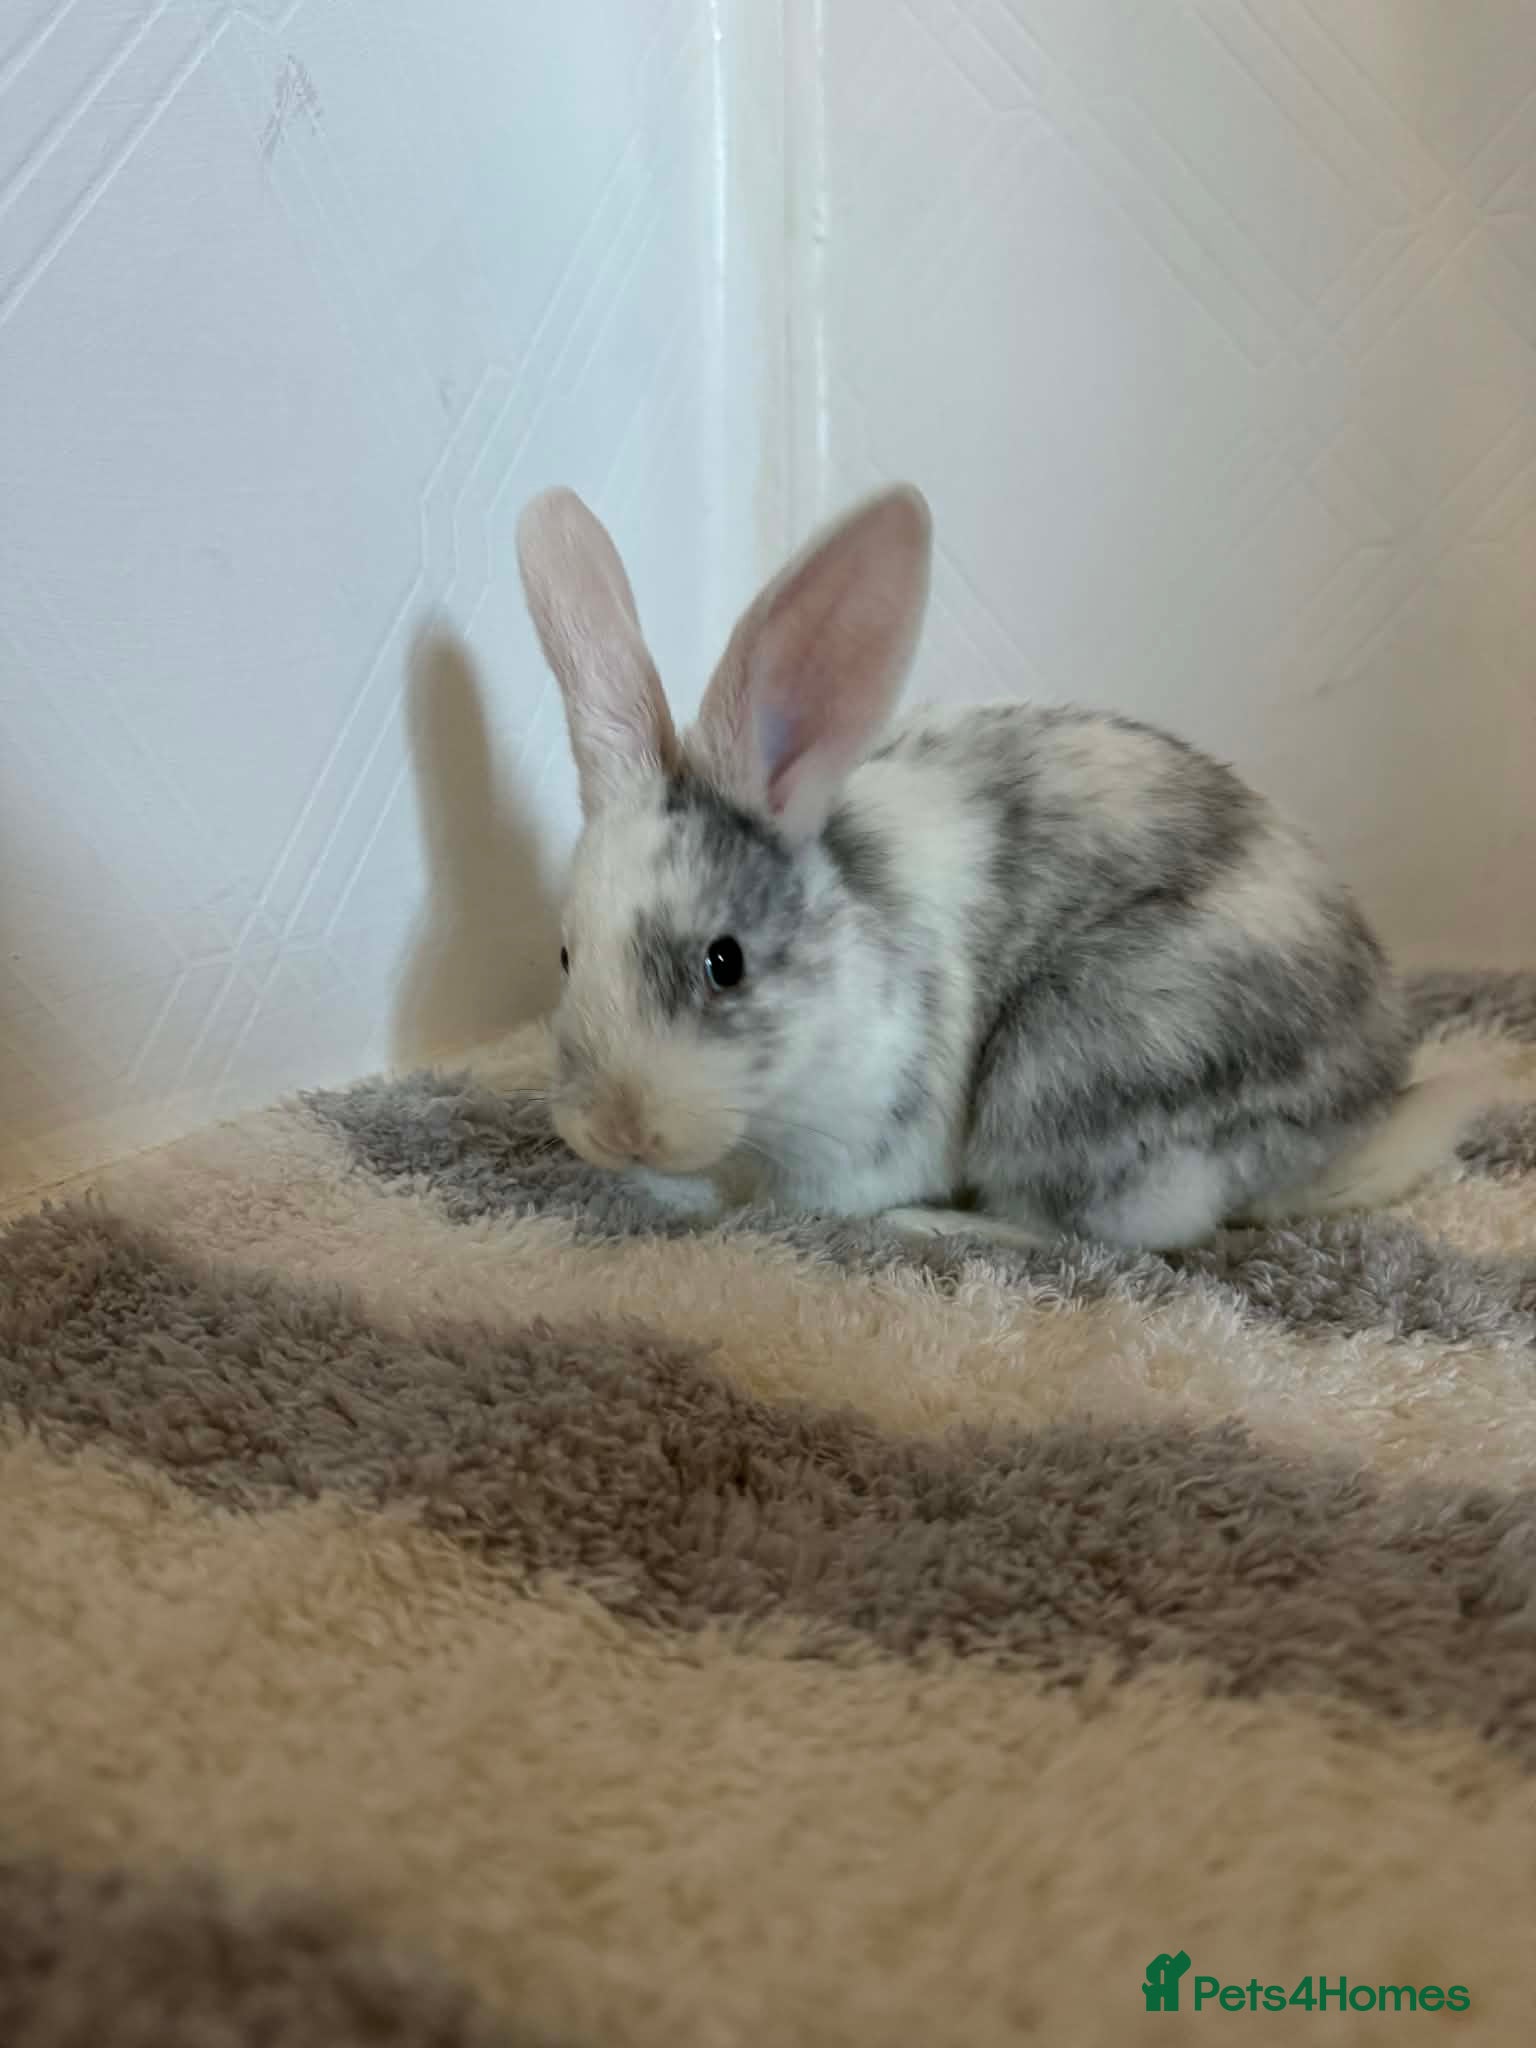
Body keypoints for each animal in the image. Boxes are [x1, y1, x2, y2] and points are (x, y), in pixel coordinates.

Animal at [514, 482, 1496, 1254]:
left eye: (726, 962)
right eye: (562, 956)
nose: (616, 1129)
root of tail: (1353, 1114)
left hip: (1070, 1071)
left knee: (1104, 1233)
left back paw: (938, 1225)